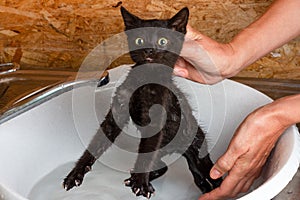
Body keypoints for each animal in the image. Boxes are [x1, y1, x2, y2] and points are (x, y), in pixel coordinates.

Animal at [63, 6, 221, 198]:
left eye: (162, 41)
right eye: (139, 39)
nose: (149, 50)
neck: (145, 81)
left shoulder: (156, 124)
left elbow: (145, 156)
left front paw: (140, 184)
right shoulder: (116, 115)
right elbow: (96, 143)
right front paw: (75, 173)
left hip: (198, 149)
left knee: (210, 175)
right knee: (165, 167)